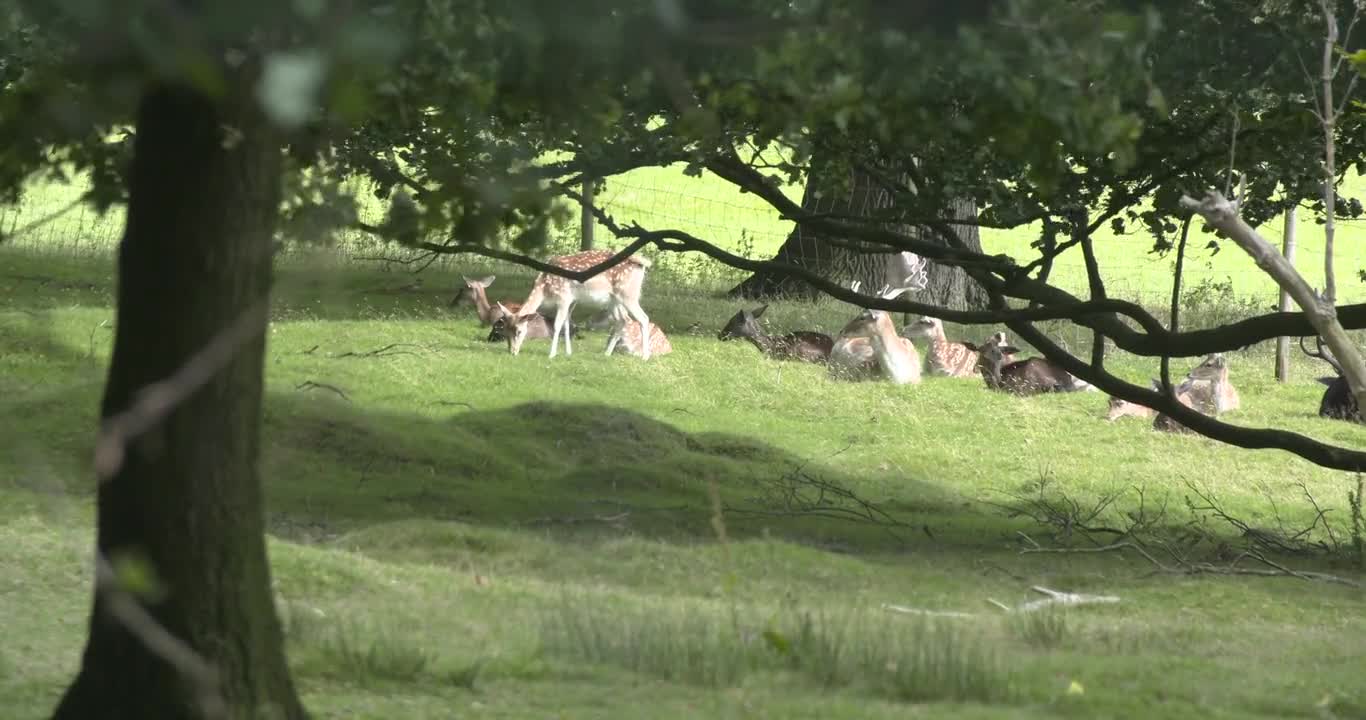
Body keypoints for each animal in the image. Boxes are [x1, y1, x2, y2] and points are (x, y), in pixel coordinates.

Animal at [499, 251, 652, 360]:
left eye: (519, 331)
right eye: (505, 331)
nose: (512, 352)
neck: (544, 288)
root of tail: (642, 264)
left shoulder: (563, 297)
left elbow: (557, 325)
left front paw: (552, 354)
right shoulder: (572, 300)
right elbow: (567, 324)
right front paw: (568, 352)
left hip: (628, 294)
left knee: (643, 318)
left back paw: (645, 357)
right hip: (614, 299)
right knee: (623, 320)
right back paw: (607, 353)